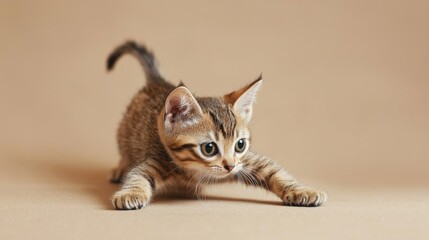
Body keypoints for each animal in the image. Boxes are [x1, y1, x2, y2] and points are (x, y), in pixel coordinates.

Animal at [106, 40, 324, 209]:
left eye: (240, 145)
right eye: (209, 148)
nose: (230, 166)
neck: (195, 174)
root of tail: (158, 81)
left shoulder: (246, 162)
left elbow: (276, 171)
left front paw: (304, 190)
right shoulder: (158, 158)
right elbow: (138, 175)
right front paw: (130, 193)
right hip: (124, 132)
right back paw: (120, 168)